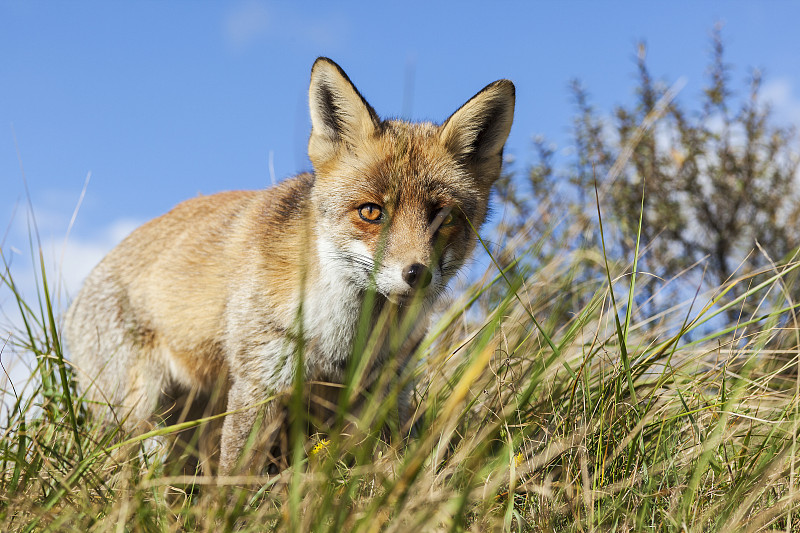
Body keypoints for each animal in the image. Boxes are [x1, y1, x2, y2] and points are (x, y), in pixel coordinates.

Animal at [61, 58, 512, 474]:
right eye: (371, 212)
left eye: (445, 217)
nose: (417, 274)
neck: (345, 340)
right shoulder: (260, 384)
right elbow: (235, 479)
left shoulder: (385, 391)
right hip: (139, 416)